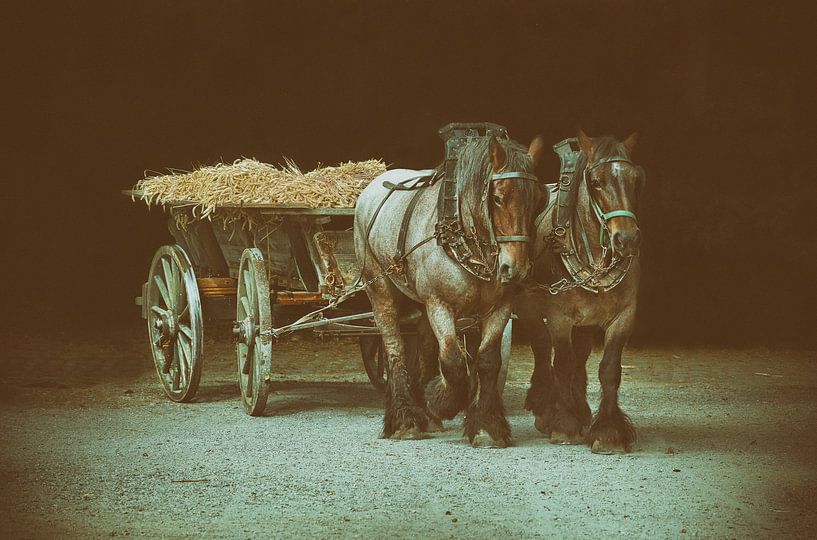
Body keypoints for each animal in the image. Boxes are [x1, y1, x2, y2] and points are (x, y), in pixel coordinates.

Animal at [354, 134, 545, 447]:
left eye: (539, 200)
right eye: (497, 198)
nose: (515, 269)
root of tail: (371, 187)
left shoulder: (501, 307)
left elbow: (488, 360)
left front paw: (486, 426)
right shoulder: (439, 303)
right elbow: (454, 362)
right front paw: (442, 400)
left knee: (424, 345)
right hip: (380, 287)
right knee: (394, 346)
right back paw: (406, 419)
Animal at [515, 130, 644, 453]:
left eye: (636, 180)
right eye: (596, 182)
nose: (626, 239)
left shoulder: (624, 316)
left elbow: (608, 369)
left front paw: (608, 431)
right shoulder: (558, 317)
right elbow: (562, 362)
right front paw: (563, 423)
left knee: (581, 354)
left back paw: (580, 408)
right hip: (528, 308)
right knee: (541, 346)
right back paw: (545, 406)